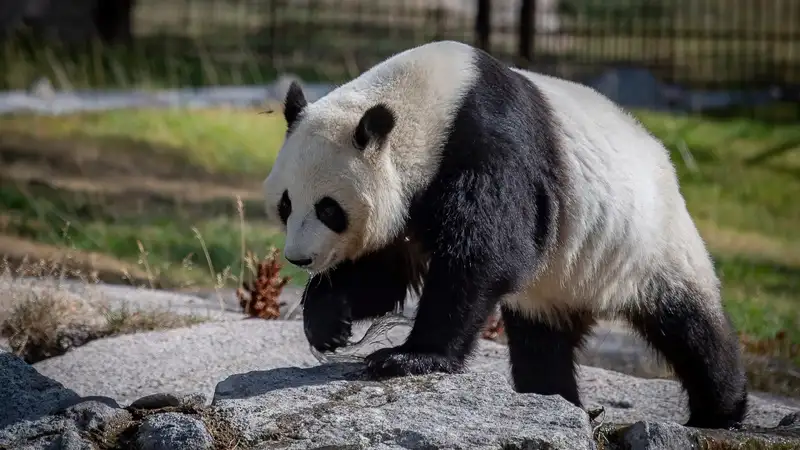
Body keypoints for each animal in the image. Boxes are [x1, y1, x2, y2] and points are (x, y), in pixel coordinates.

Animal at [262, 39, 752, 428]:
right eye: (286, 205)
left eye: (329, 209)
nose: (300, 259)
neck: (424, 108)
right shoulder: (409, 202)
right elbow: (384, 276)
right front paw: (328, 324)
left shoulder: (489, 145)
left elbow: (485, 255)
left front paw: (407, 358)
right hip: (557, 281)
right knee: (542, 340)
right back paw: (555, 398)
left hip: (650, 240)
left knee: (691, 327)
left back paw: (719, 411)